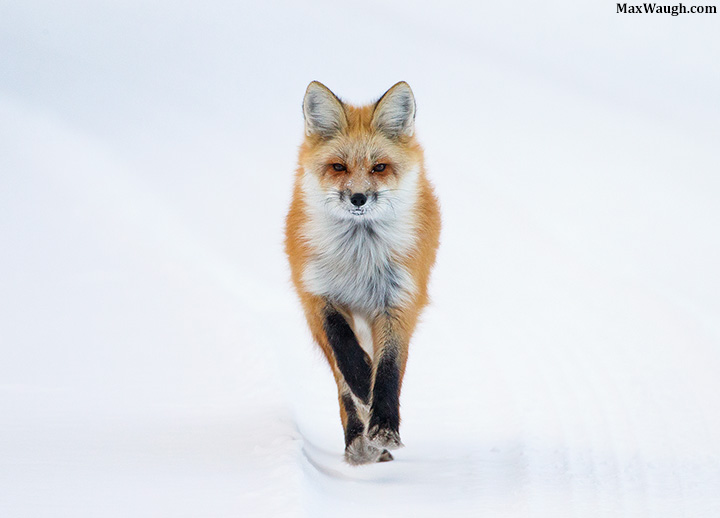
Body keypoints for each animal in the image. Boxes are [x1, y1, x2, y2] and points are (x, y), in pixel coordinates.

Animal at [284, 81, 441, 465]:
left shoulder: (399, 300)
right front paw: (360, 381)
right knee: (341, 382)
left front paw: (384, 424)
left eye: (379, 167)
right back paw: (356, 438)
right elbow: (344, 350)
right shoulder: (315, 294)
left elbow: (389, 369)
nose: (358, 198)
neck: (359, 258)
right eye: (339, 167)